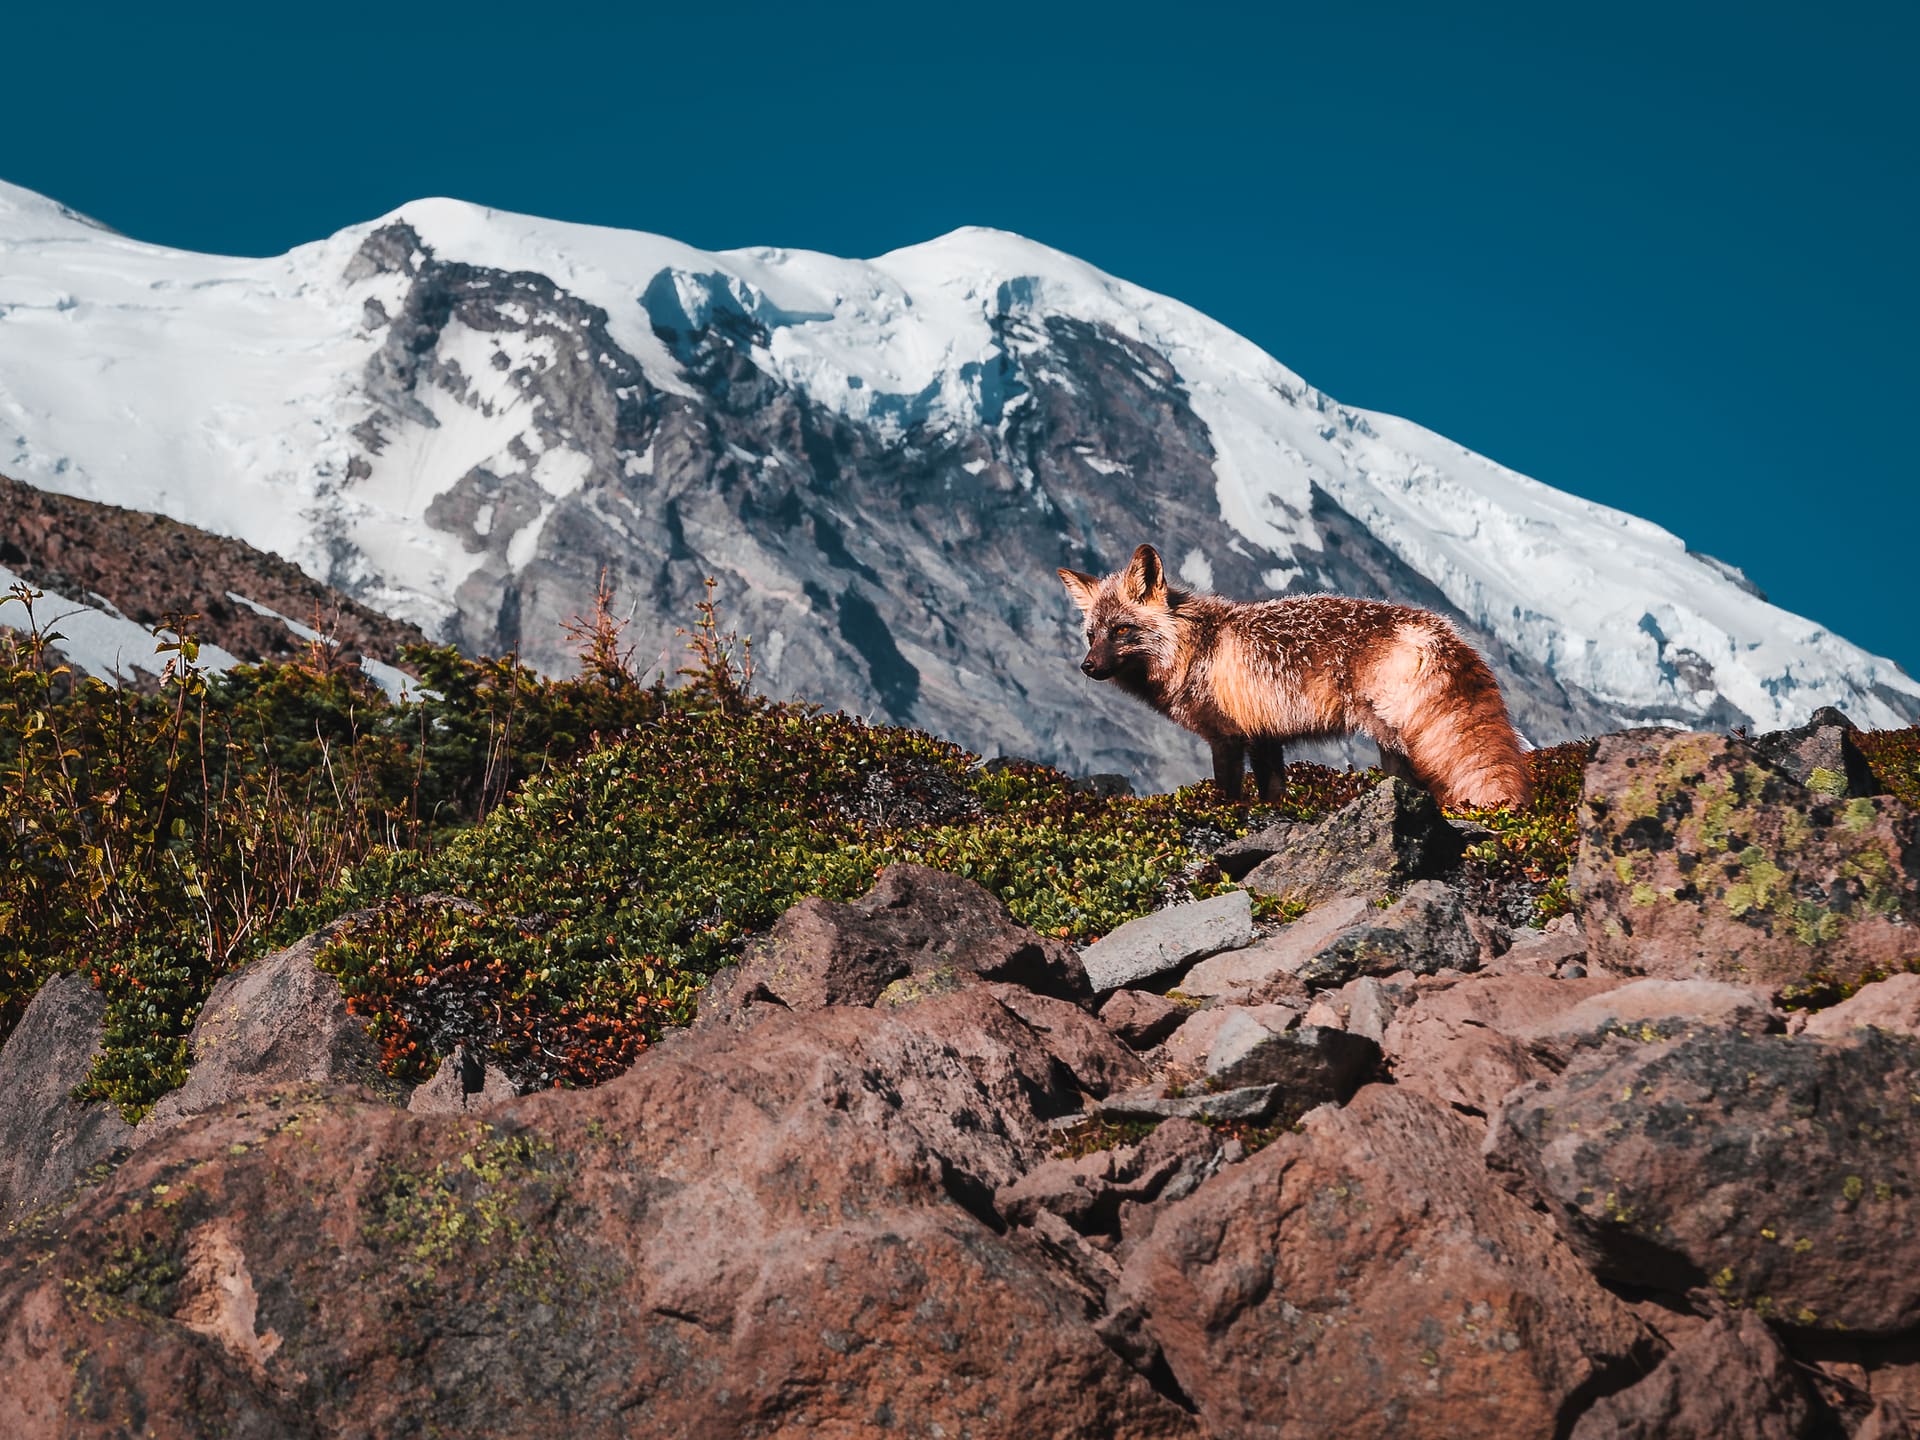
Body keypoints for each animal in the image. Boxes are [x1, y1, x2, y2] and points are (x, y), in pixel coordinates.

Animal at [1067, 545, 1528, 814]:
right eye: (1092, 635)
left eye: (1122, 630)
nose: (1087, 667)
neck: (1194, 648)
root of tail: (1440, 629)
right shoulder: (1264, 736)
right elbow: (1273, 794)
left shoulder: (1227, 737)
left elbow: (1229, 794)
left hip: (1399, 742)